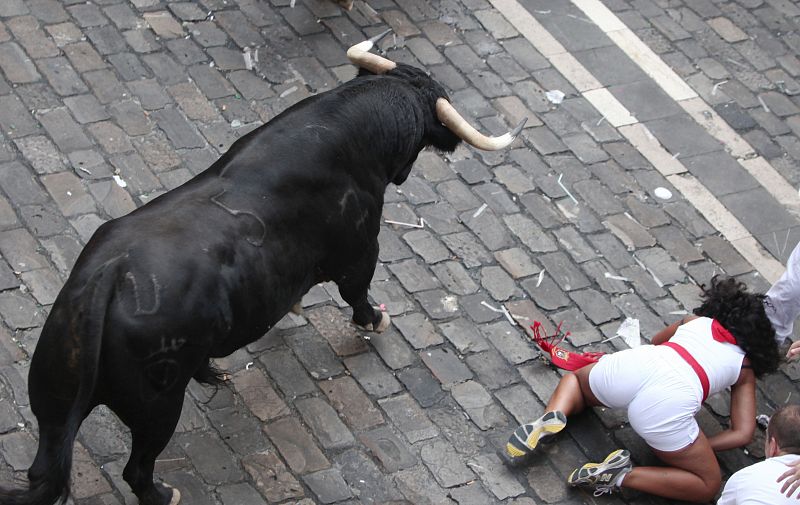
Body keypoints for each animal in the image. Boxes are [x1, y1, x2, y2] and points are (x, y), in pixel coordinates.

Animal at [0, 57, 520, 502]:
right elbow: (358, 293)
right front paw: (376, 320)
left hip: (53, 398)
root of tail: (107, 279)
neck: (348, 131)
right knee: (137, 469)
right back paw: (166, 493)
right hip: (158, 409)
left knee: (44, 467)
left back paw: (210, 372)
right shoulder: (360, 251)